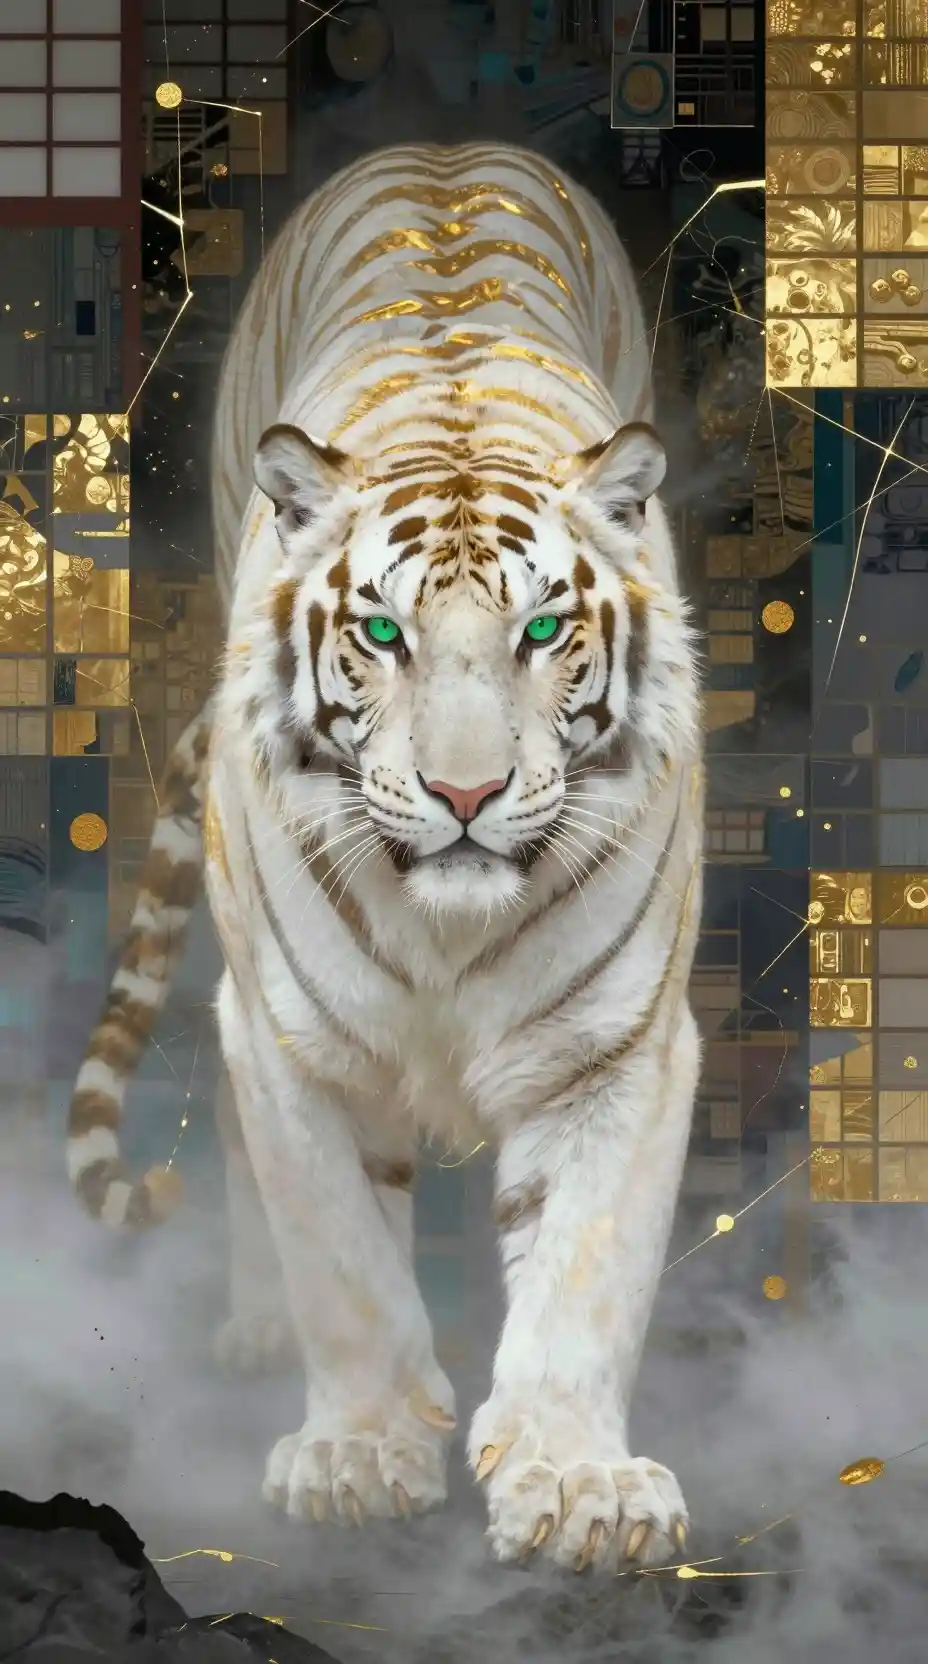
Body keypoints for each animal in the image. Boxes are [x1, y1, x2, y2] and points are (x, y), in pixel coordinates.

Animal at [67, 143, 703, 1573]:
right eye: (378, 631)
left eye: (541, 631)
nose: (465, 791)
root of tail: (446, 148)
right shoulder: (292, 1037)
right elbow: (342, 1260)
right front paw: (358, 1456)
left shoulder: (618, 1048)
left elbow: (588, 1268)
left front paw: (581, 1485)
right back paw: (255, 1327)